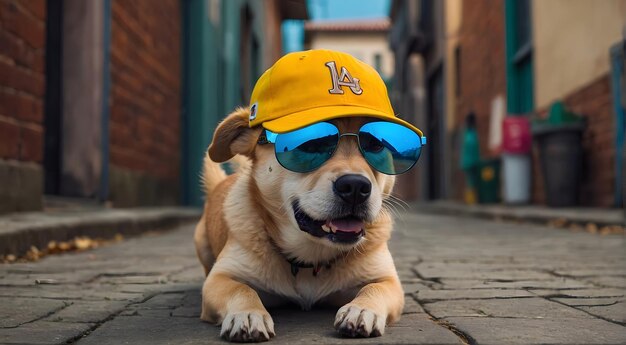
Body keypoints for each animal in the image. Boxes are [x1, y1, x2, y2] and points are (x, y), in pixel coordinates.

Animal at [193, 49, 422, 342]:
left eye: (374, 144)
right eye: (311, 144)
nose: (355, 187)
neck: (310, 259)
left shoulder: (387, 279)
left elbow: (374, 289)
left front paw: (361, 310)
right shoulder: (221, 278)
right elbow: (241, 289)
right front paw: (248, 313)